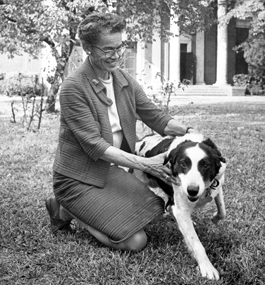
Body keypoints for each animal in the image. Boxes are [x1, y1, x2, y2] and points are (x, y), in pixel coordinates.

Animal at [135, 133, 226, 280]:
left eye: (206, 165)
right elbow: (196, 243)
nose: (192, 190)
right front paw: (207, 267)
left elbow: (222, 210)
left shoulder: (218, 184)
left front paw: (216, 218)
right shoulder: (181, 209)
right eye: (183, 164)